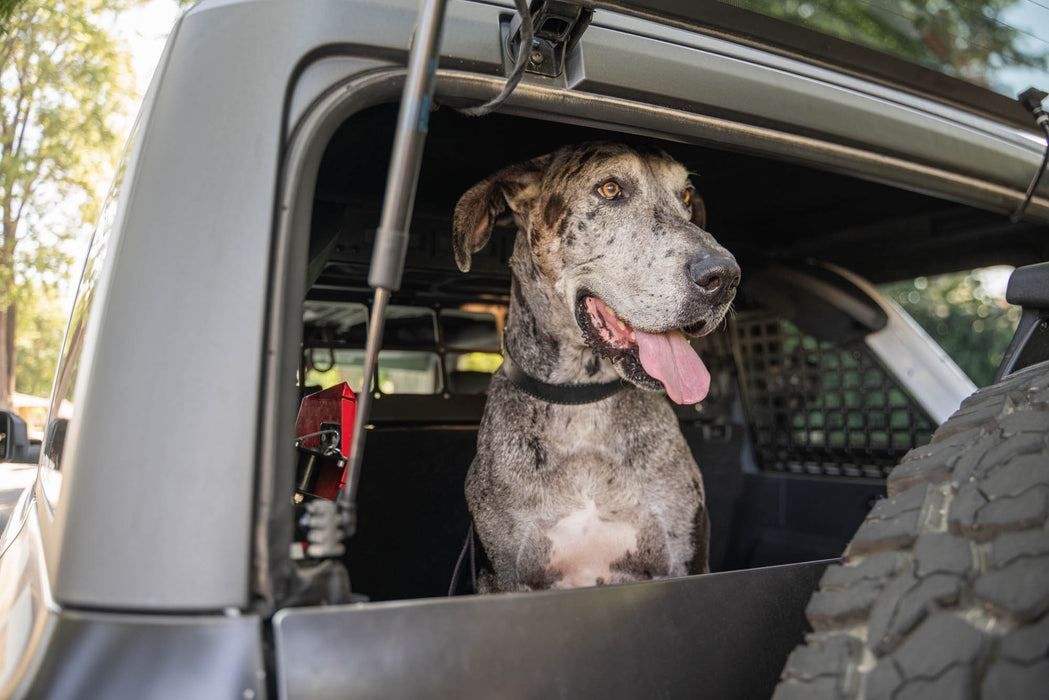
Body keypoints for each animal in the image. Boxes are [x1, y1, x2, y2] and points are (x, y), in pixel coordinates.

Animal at [455, 142, 742, 591]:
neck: (582, 404)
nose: (725, 276)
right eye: (610, 189)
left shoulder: (683, 563)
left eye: (686, 195)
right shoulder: (503, 578)